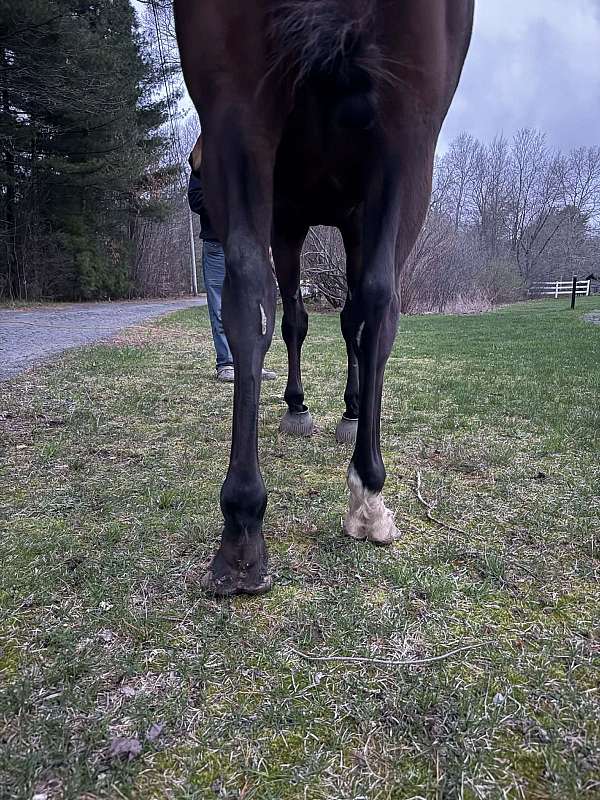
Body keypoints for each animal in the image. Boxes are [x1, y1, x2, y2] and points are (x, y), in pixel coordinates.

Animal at [173, 0, 475, 596]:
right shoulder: (306, 220)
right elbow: (325, 320)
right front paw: (317, 410)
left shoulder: (305, 217)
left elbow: (324, 317)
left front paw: (337, 411)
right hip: (406, 140)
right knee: (368, 302)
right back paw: (362, 495)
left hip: (242, 112)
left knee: (257, 288)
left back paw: (243, 529)